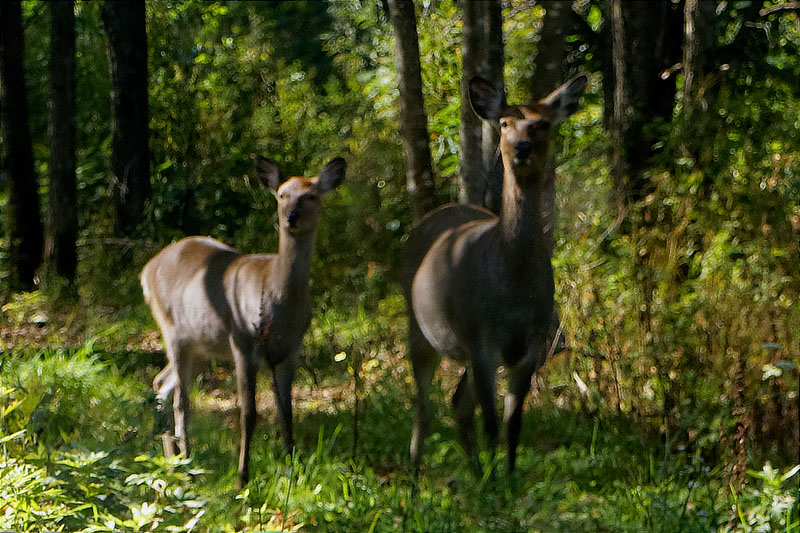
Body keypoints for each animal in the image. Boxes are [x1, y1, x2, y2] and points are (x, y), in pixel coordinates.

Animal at [141, 154, 346, 486]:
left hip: (201, 345)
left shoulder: (290, 350)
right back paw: (185, 462)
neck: (280, 302)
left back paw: (170, 456)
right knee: (181, 400)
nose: (291, 217)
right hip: (172, 329)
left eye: (311, 195)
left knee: (162, 383)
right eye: (282, 195)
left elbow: (286, 411)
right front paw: (242, 478)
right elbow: (248, 414)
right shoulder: (242, 341)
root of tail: (146, 271)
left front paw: (291, 468)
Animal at [404, 72, 584, 472]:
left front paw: (509, 476)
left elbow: (512, 426)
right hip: (420, 328)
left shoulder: (530, 347)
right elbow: (490, 423)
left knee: (457, 403)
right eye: (504, 123)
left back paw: (473, 471)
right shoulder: (480, 339)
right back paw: (414, 475)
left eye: (543, 123)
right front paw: (495, 482)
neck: (513, 287)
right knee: (422, 405)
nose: (521, 147)